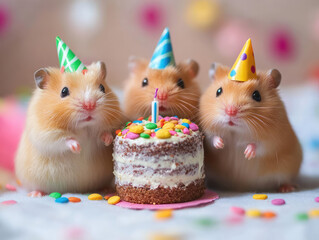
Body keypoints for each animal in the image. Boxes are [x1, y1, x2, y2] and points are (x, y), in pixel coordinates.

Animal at [14, 62, 124, 195]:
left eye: (102, 88)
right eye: (64, 91)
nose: (90, 105)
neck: (84, 127)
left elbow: (104, 133)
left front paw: (107, 140)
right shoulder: (45, 134)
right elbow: (64, 140)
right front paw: (77, 148)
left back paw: (106, 189)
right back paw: (36, 194)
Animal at [201, 62, 304, 192]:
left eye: (257, 95)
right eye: (218, 91)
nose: (231, 112)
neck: (235, 131)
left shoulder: (271, 140)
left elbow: (257, 145)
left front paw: (247, 153)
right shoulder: (207, 132)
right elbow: (212, 139)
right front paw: (220, 144)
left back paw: (287, 188)